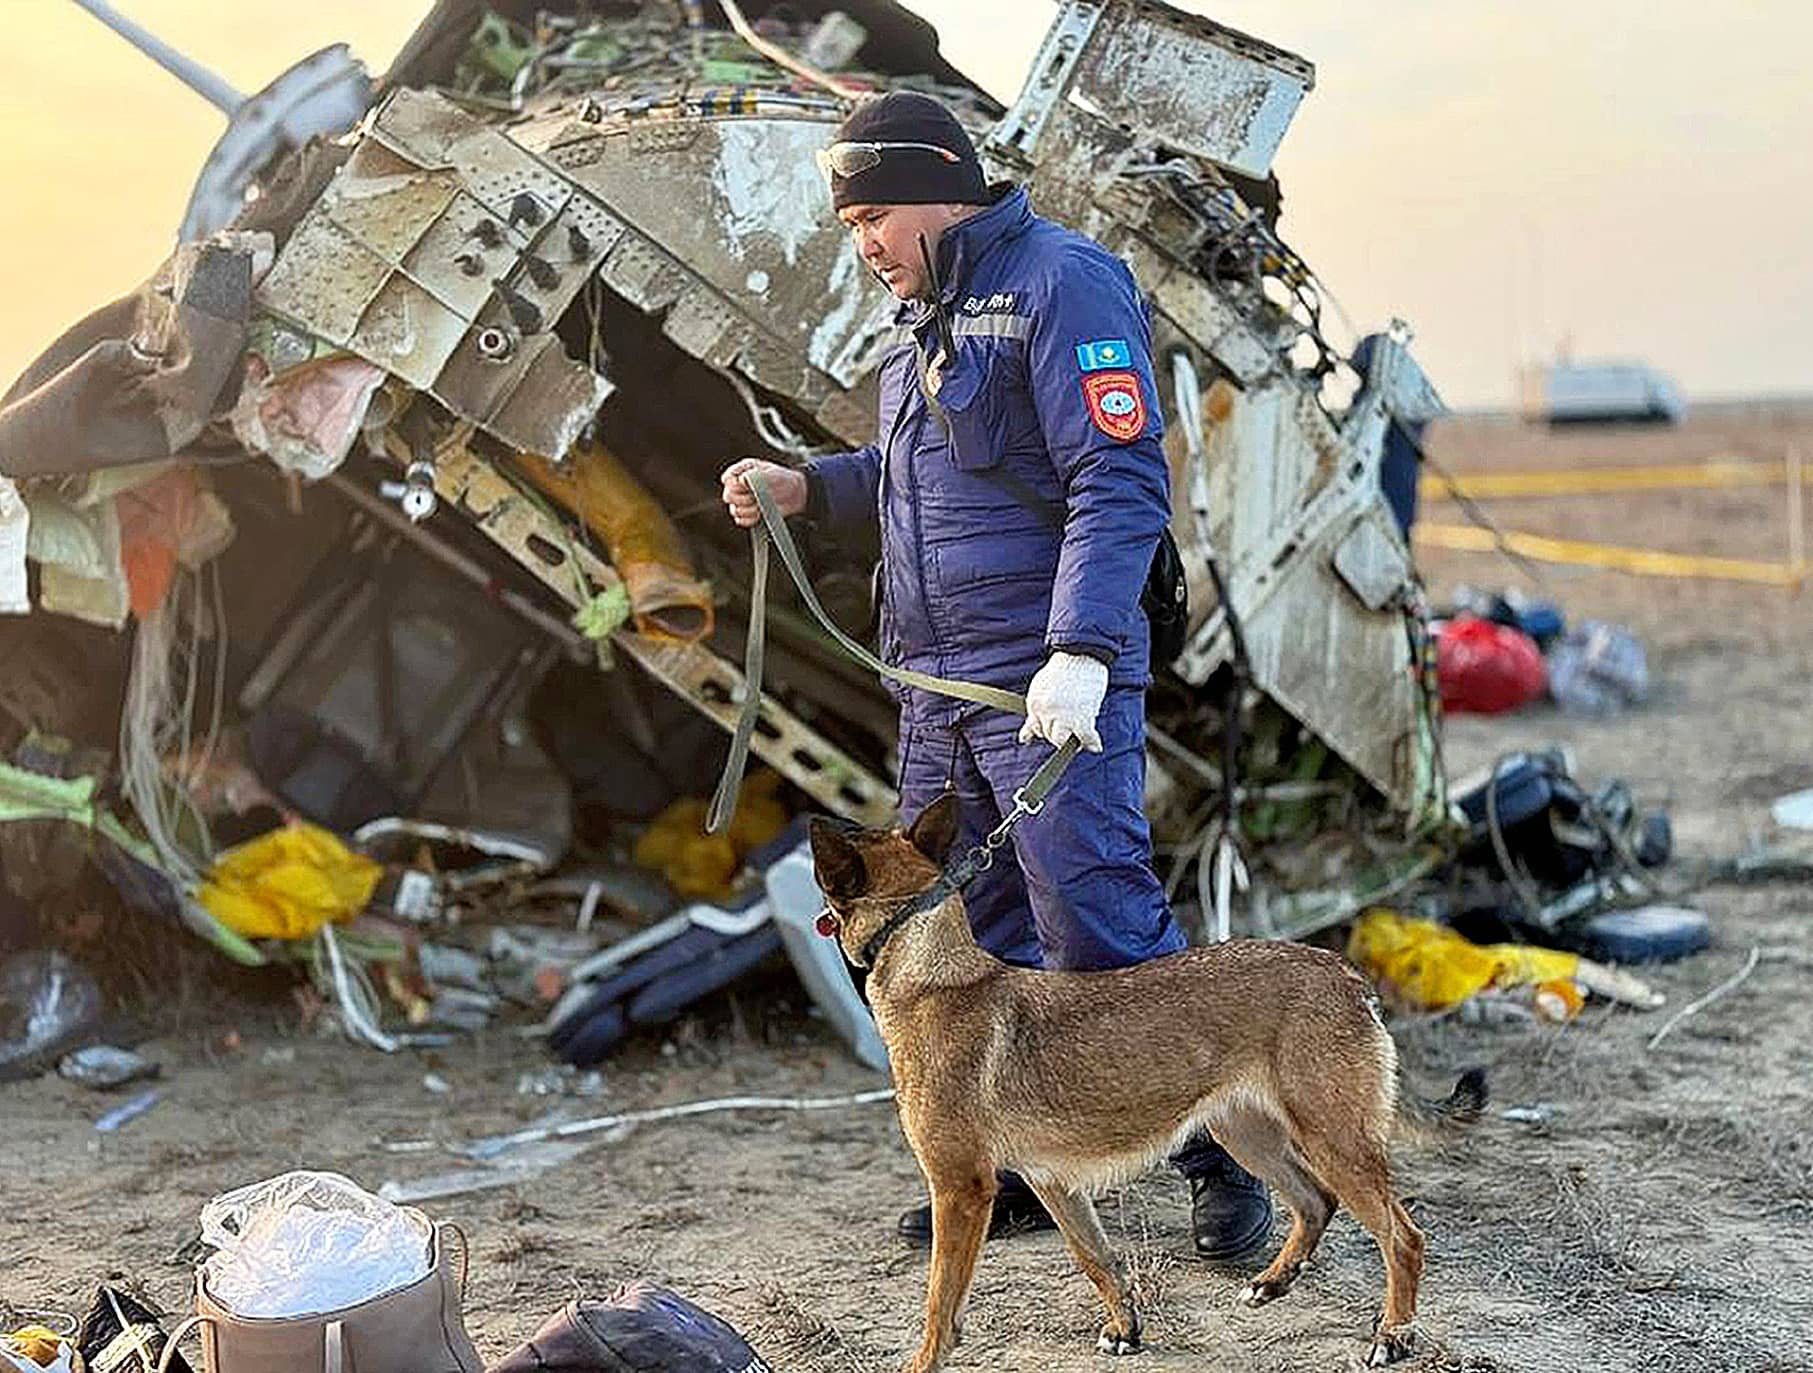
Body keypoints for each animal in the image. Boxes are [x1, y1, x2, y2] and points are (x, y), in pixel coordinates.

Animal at [812, 794, 1486, 1371]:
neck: (930, 970)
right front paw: (1125, 1328)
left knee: (1403, 1237)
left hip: (1334, 1142)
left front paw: (925, 1362)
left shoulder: (960, 1191)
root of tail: (1345, 974)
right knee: (1315, 1202)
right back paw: (1274, 1281)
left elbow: (939, 1301)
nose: (821, 815)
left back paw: (1393, 1335)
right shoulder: (1053, 1183)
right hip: (1249, 1134)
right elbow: (1097, 1259)